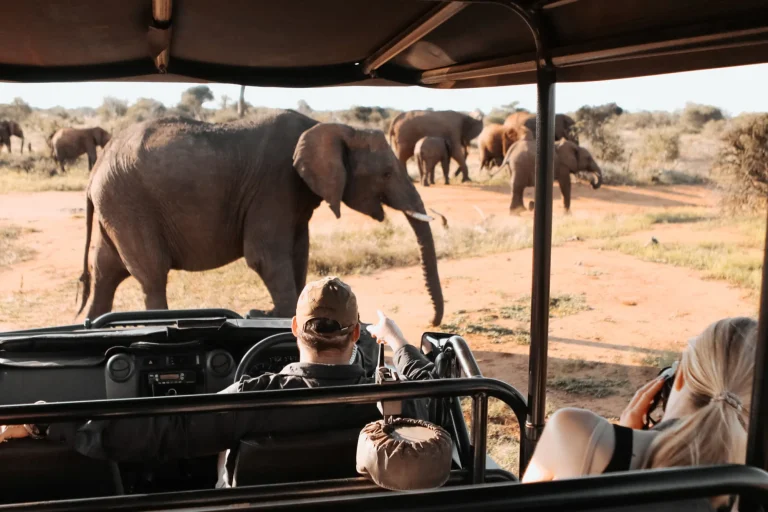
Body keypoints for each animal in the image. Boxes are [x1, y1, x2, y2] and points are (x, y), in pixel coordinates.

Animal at [76, 110, 444, 327]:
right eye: (386, 173)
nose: (432, 323)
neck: (330, 126)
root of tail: (94, 174)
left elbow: (298, 253)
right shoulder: (274, 183)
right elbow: (265, 256)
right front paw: (272, 316)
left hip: (116, 207)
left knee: (105, 271)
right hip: (129, 203)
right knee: (151, 275)